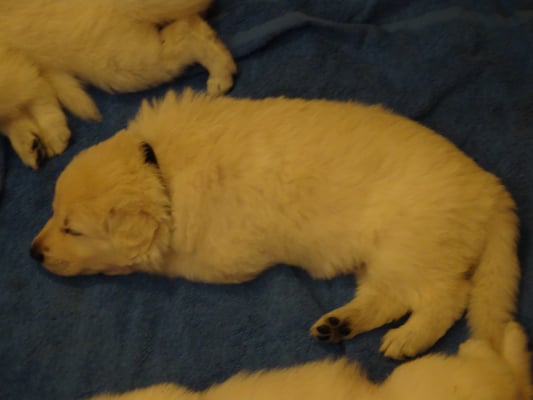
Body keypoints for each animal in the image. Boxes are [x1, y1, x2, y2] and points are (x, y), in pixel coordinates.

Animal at [0, 0, 236, 169]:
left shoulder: (12, 70)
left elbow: (36, 95)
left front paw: (49, 136)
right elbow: (16, 119)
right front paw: (32, 144)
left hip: (115, 60)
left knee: (186, 34)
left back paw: (221, 75)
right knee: (192, 25)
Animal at [32, 90, 520, 360]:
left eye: (73, 230)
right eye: (54, 212)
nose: (33, 252)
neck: (160, 170)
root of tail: (492, 189)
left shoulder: (223, 256)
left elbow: (172, 261)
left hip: (412, 244)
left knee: (446, 297)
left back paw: (408, 339)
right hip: (386, 257)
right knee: (387, 296)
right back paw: (340, 323)